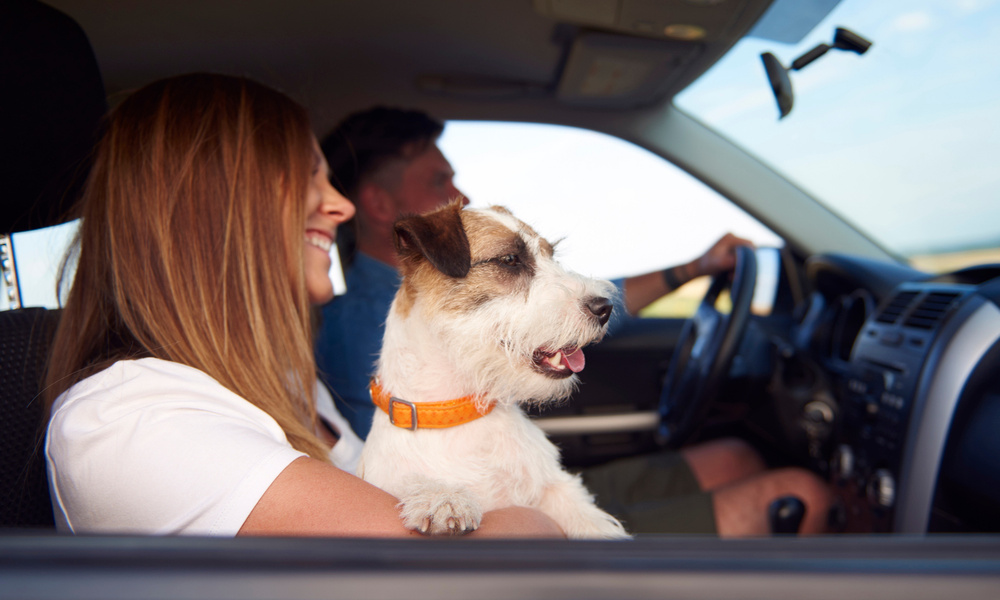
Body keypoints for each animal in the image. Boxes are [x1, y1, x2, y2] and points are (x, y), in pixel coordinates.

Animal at [356, 198, 628, 540]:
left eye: (551, 254)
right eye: (510, 259)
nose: (605, 307)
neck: (457, 414)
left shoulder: (555, 489)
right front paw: (441, 497)